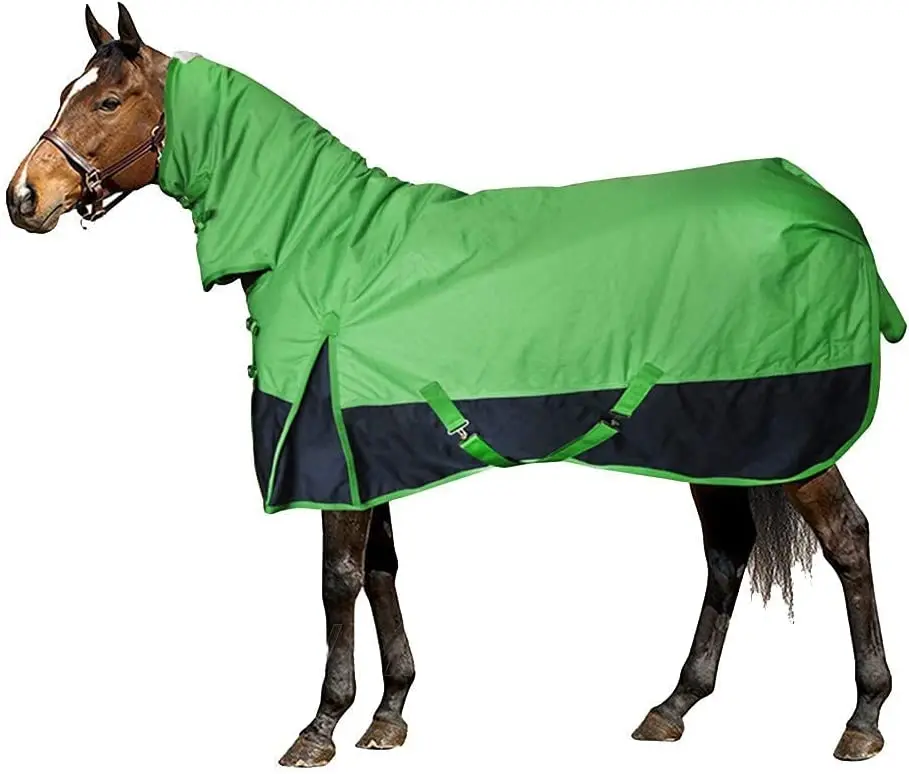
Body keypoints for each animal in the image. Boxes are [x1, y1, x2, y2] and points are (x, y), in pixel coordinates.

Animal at [5, 4, 894, 767]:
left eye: (107, 99)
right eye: (63, 93)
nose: (24, 198)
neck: (317, 242)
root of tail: (829, 211)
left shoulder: (326, 452)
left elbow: (336, 582)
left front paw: (319, 727)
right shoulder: (363, 448)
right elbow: (381, 572)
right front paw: (389, 714)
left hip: (786, 434)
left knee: (845, 539)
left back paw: (861, 719)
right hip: (713, 435)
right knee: (726, 551)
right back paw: (672, 707)